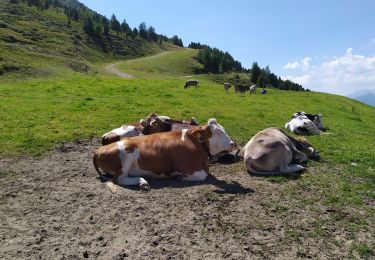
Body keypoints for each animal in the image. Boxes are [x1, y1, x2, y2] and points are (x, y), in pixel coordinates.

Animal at [93, 119, 235, 190]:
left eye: (224, 129)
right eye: (217, 132)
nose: (233, 143)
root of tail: (98, 150)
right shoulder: (184, 166)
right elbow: (202, 175)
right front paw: (180, 177)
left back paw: (142, 182)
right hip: (126, 154)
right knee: (119, 179)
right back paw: (142, 181)